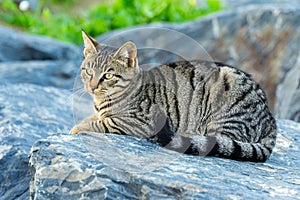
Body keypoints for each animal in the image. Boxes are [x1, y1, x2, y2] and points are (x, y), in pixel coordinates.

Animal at [70, 31, 276, 162]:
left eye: (108, 76)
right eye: (89, 71)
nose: (92, 86)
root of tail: (271, 119)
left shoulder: (141, 121)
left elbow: (100, 123)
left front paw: (77, 128)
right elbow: (94, 118)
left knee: (217, 141)